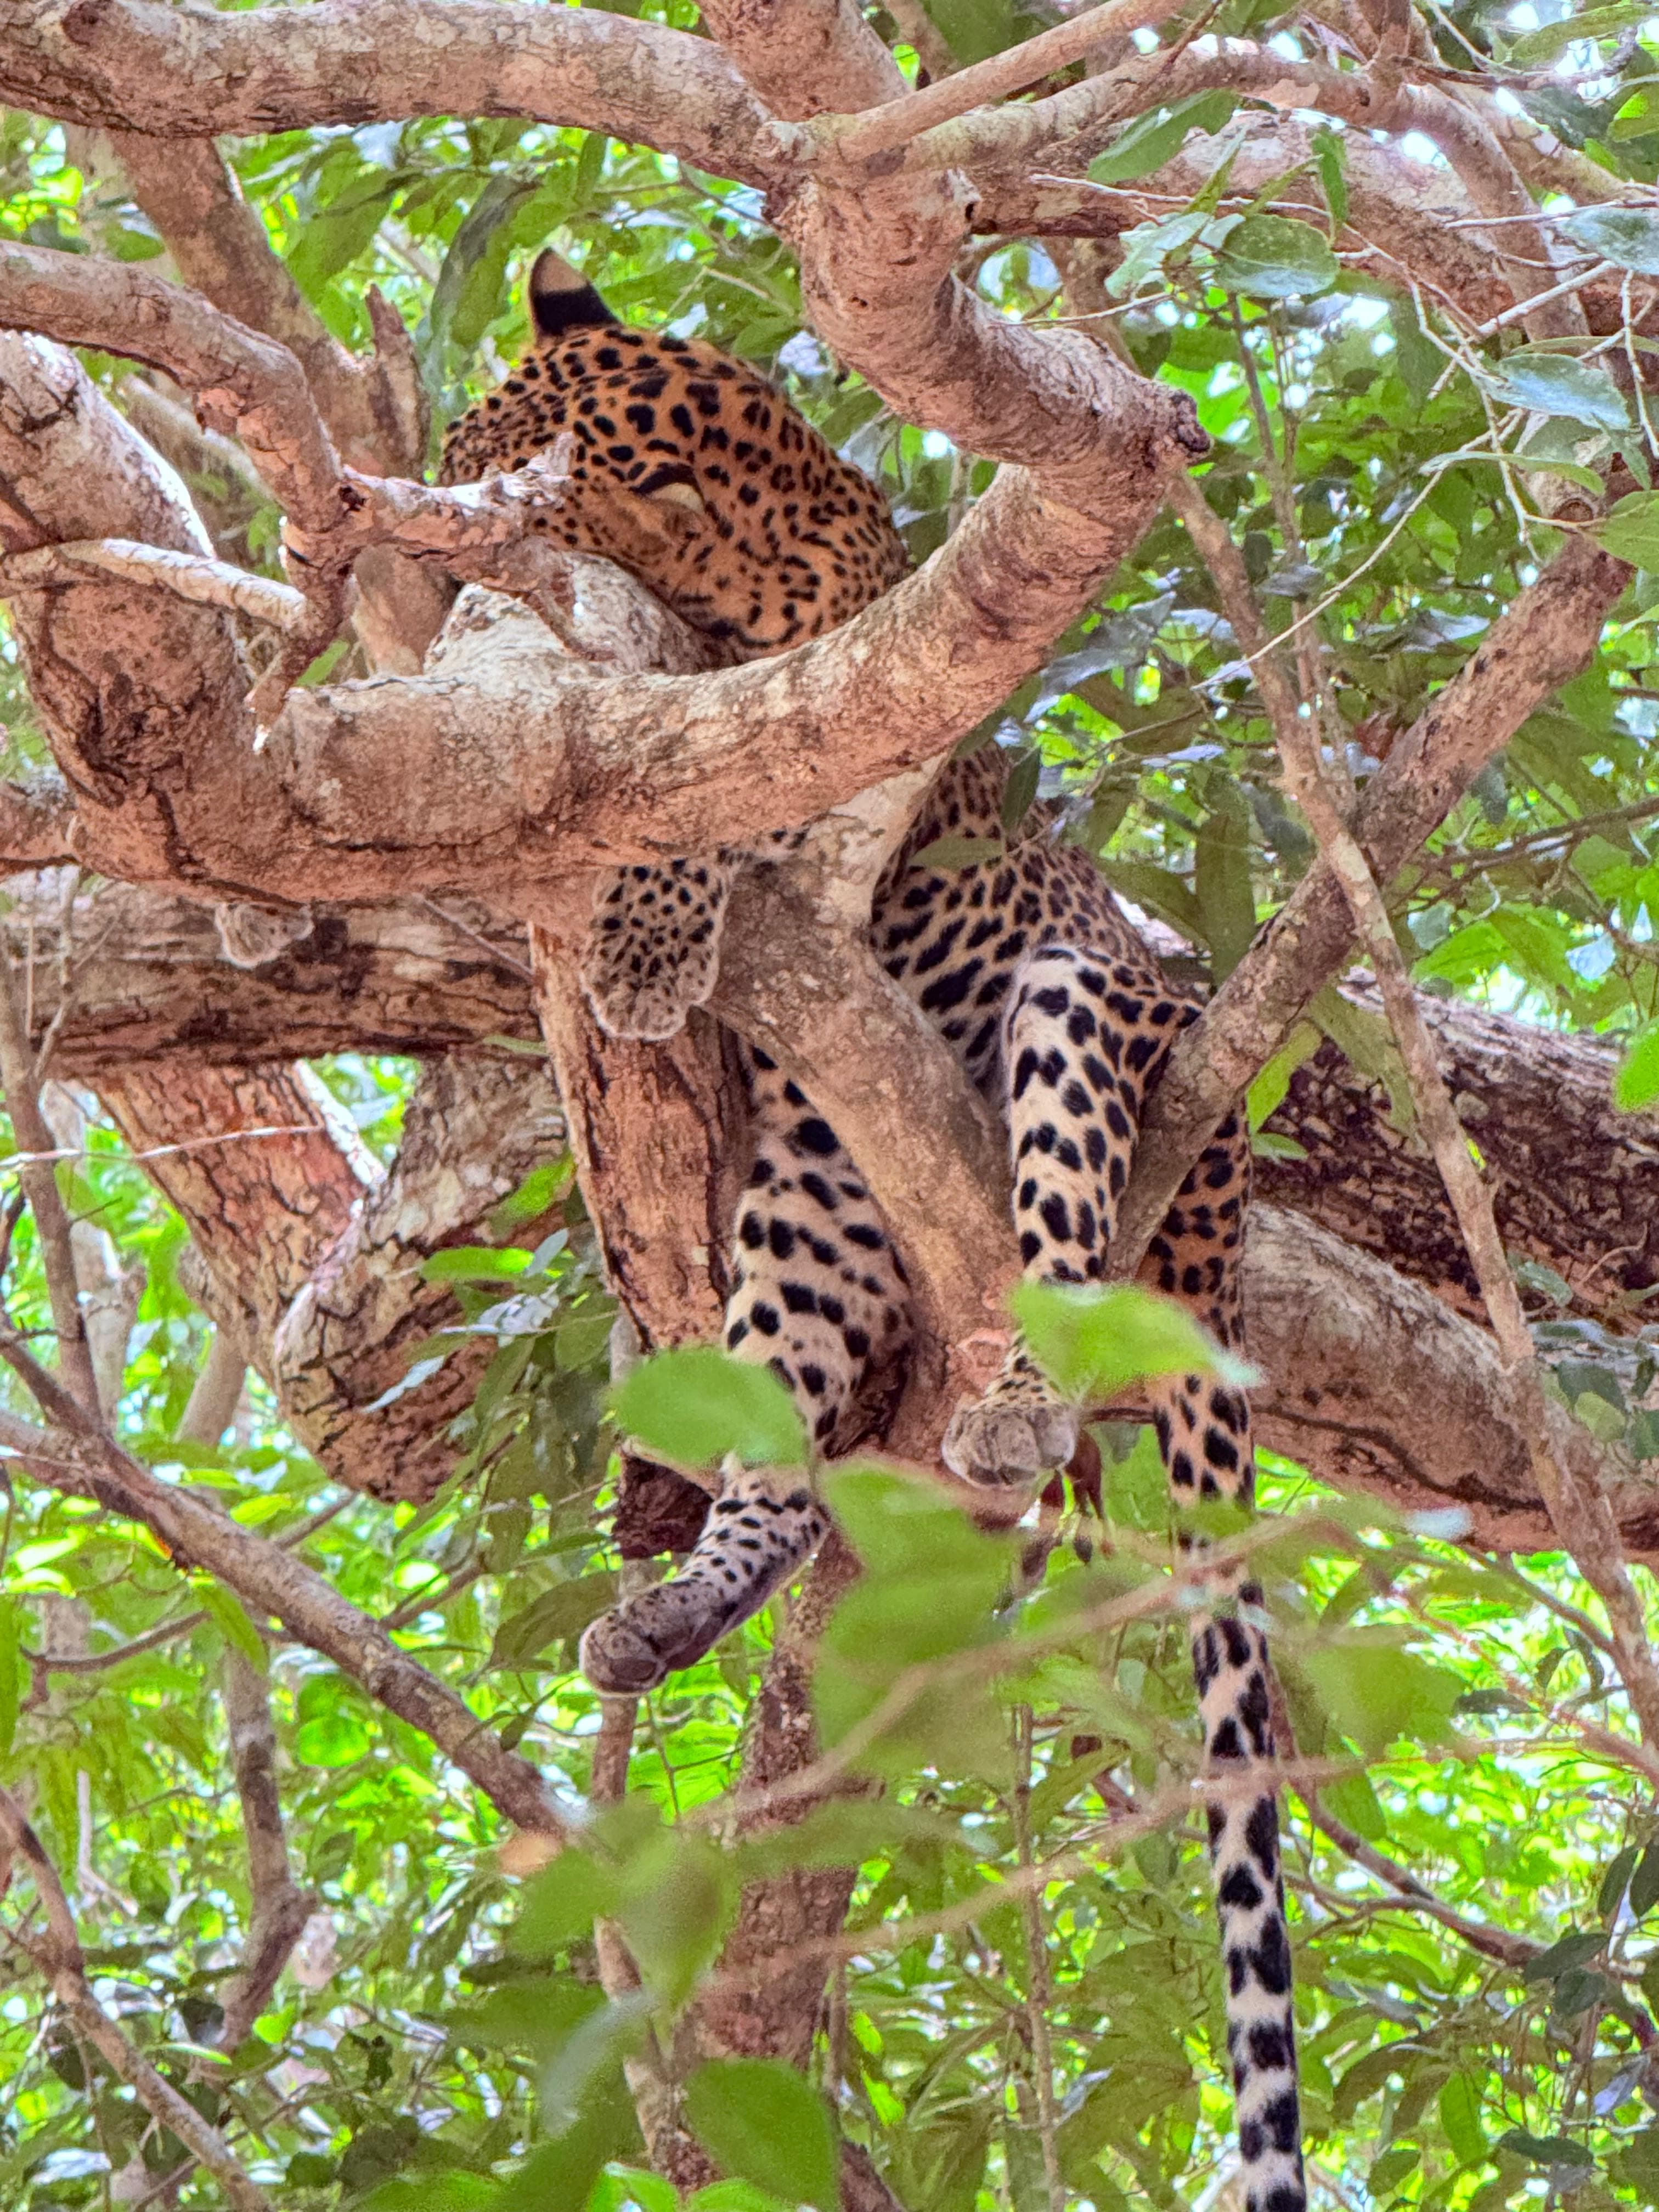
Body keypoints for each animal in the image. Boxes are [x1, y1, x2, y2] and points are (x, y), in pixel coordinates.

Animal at [441, 248, 1304, 2212]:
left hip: (1087, 1023)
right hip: (818, 1190)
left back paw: (1016, 1408)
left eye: (500, 484)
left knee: (1062, 1265)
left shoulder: (854, 718)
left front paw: (648, 940)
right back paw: (685, 1601)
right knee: (781, 1439)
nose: (421, 556)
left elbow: (726, 805)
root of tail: (1224, 1249)